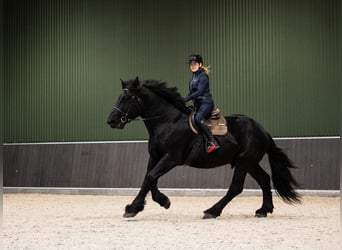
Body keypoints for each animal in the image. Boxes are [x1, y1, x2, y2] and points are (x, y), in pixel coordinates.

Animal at [106, 76, 300, 219]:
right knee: (264, 179)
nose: (112, 121)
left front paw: (161, 202)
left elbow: (151, 177)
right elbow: (147, 180)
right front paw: (136, 207)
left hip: (244, 161)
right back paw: (263, 210)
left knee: (236, 187)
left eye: (128, 98)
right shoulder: (154, 157)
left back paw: (212, 211)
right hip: (249, 162)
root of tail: (261, 129)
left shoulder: (171, 158)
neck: (167, 121)